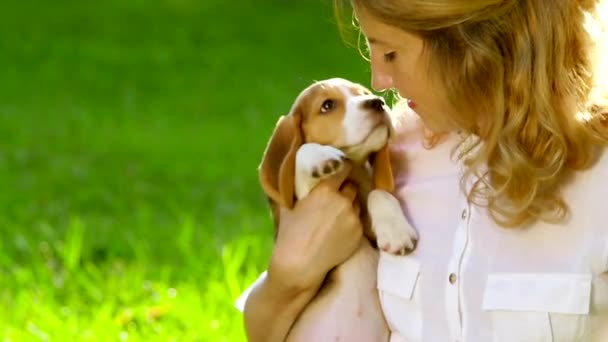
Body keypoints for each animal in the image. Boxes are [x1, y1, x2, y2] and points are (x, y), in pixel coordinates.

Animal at [256, 78, 418, 342]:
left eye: (363, 92)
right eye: (328, 105)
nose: (377, 102)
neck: (354, 169)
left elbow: (378, 193)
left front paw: (397, 233)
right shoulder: (302, 199)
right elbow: (302, 152)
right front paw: (320, 156)